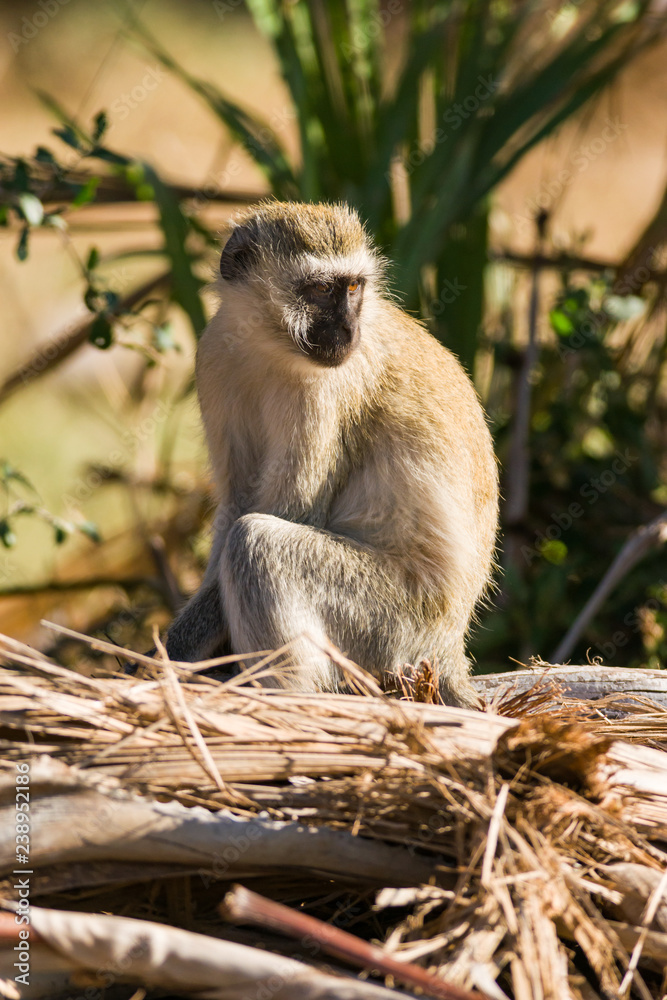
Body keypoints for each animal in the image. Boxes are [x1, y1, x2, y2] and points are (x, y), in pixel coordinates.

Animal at [165, 200, 498, 707]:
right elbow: (236, 502)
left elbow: (291, 512)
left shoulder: (323, 392)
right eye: (322, 290)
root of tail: (449, 647)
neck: (267, 345)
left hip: (395, 623)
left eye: (354, 288)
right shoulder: (215, 355)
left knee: (256, 543)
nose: (348, 330)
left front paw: (173, 653)